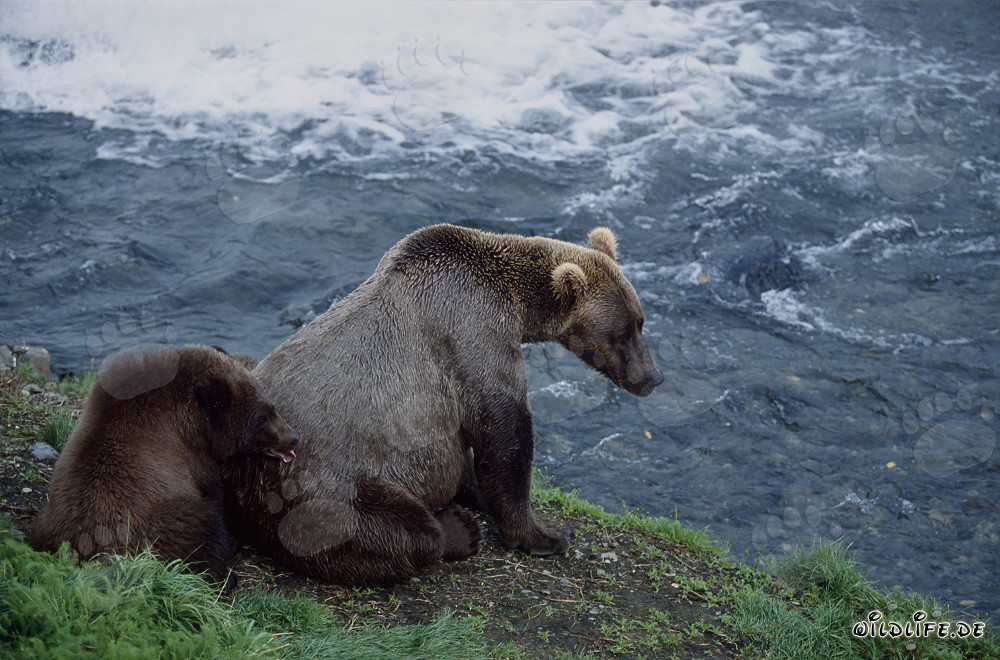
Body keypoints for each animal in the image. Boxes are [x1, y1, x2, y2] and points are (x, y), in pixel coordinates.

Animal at [30, 345, 299, 582]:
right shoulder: (193, 459)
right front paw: (232, 541)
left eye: (272, 406)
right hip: (166, 521)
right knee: (203, 531)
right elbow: (215, 495)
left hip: (45, 522)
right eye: (262, 416)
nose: (294, 437)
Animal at [225, 224, 663, 586]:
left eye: (640, 321)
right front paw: (546, 535)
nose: (653, 377)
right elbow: (505, 437)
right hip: (320, 488)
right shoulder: (473, 338)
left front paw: (481, 496)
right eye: (622, 332)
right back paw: (456, 530)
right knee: (390, 531)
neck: (517, 305)